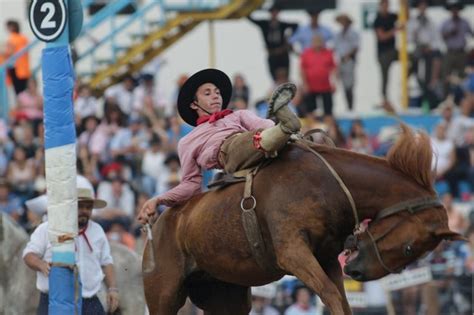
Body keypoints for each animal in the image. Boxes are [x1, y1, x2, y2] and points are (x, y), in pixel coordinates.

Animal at [143, 124, 464, 314]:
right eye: (409, 248)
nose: (357, 272)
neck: (325, 185)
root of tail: (159, 223)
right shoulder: (293, 253)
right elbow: (331, 297)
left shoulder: (327, 258)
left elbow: (341, 301)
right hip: (164, 294)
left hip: (225, 295)